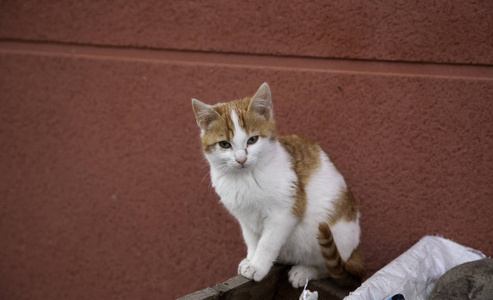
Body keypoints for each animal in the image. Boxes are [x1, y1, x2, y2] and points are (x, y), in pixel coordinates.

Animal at [192, 82, 366, 288]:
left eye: (252, 140)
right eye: (225, 144)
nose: (241, 159)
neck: (244, 178)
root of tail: (355, 249)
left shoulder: (284, 213)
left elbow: (267, 242)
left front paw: (257, 266)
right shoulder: (245, 218)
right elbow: (252, 240)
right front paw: (251, 259)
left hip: (329, 235)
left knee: (329, 268)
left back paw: (306, 271)